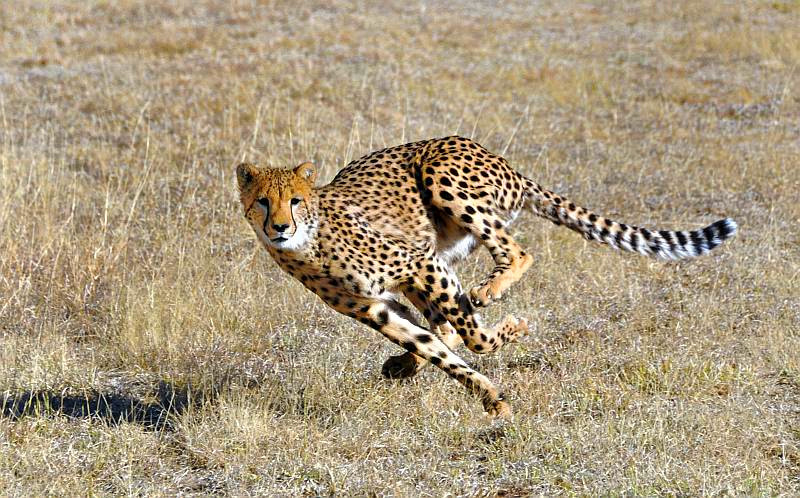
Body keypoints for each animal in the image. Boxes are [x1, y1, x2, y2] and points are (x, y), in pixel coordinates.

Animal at [236, 136, 737, 418]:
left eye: (295, 200)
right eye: (262, 201)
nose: (279, 227)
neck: (309, 243)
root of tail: (502, 160)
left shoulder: (420, 263)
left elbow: (474, 340)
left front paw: (510, 330)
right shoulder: (376, 307)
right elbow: (435, 347)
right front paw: (489, 396)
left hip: (442, 180)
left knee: (517, 253)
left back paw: (490, 290)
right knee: (441, 323)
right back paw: (404, 363)